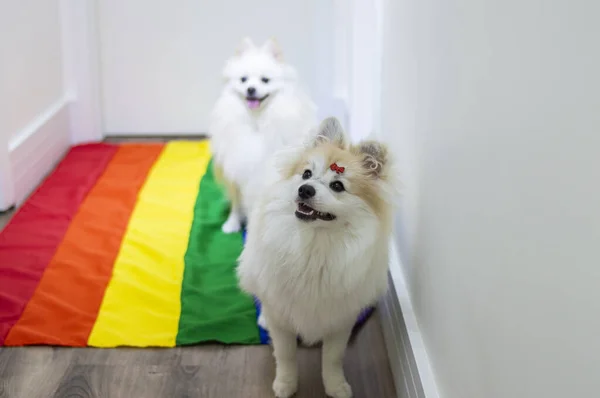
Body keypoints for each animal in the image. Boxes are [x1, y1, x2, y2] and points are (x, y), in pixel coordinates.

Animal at [209, 37, 316, 233]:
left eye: (265, 80)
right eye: (243, 80)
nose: (251, 89)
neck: (257, 120)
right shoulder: (236, 171)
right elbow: (236, 203)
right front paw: (232, 223)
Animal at [238, 116, 398, 396]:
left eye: (337, 186)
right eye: (306, 174)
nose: (305, 190)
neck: (314, 244)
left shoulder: (340, 318)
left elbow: (333, 358)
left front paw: (336, 386)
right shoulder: (281, 315)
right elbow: (286, 354)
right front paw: (285, 384)